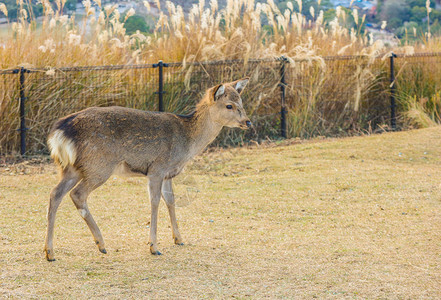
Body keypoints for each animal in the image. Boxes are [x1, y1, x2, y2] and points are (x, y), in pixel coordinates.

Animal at [44, 78, 251, 262]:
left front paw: (179, 239)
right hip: (99, 166)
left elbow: (170, 200)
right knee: (77, 194)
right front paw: (154, 247)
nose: (248, 122)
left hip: (71, 168)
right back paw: (101, 244)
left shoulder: (168, 173)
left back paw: (50, 252)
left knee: (55, 193)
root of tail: (59, 132)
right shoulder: (157, 168)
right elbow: (155, 201)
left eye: (241, 102)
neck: (188, 141)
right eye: (229, 105)